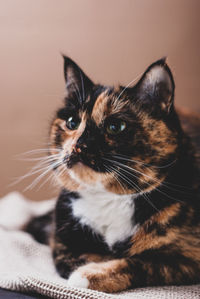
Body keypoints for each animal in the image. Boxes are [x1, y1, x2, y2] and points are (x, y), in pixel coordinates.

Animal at [26, 55, 200, 292]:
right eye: (72, 122)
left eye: (116, 126)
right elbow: (73, 258)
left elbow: (142, 262)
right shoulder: (62, 240)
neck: (108, 198)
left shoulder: (189, 257)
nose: (79, 145)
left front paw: (89, 275)